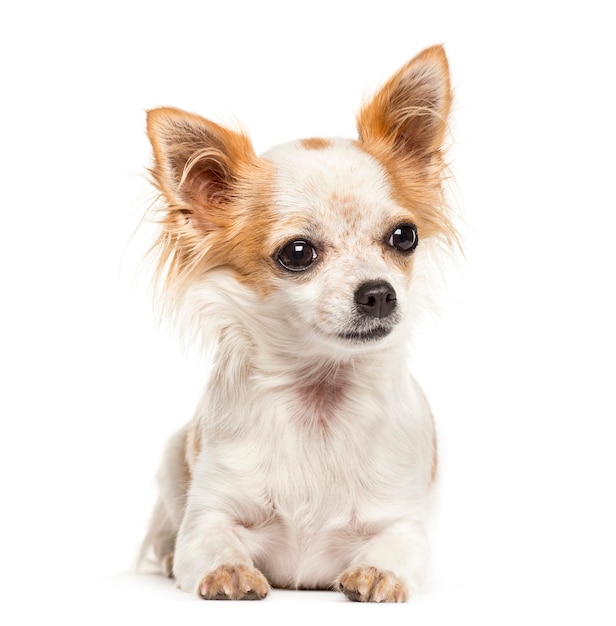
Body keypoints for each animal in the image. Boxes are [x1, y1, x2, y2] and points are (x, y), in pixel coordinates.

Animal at [140, 44, 458, 600]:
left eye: (404, 236)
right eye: (297, 253)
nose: (380, 293)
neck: (320, 400)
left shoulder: (403, 520)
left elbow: (397, 546)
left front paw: (379, 572)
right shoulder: (210, 513)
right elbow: (206, 540)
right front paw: (227, 569)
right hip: (172, 456)